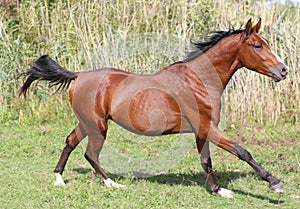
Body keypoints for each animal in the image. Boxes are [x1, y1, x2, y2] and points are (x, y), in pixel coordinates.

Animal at [19, 18, 288, 198]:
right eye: (257, 46)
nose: (283, 70)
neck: (199, 80)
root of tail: (78, 75)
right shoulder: (207, 127)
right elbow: (242, 152)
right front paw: (274, 182)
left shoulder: (202, 130)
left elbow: (206, 161)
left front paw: (218, 190)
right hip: (98, 126)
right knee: (90, 154)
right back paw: (112, 184)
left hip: (87, 123)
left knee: (70, 142)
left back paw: (59, 179)